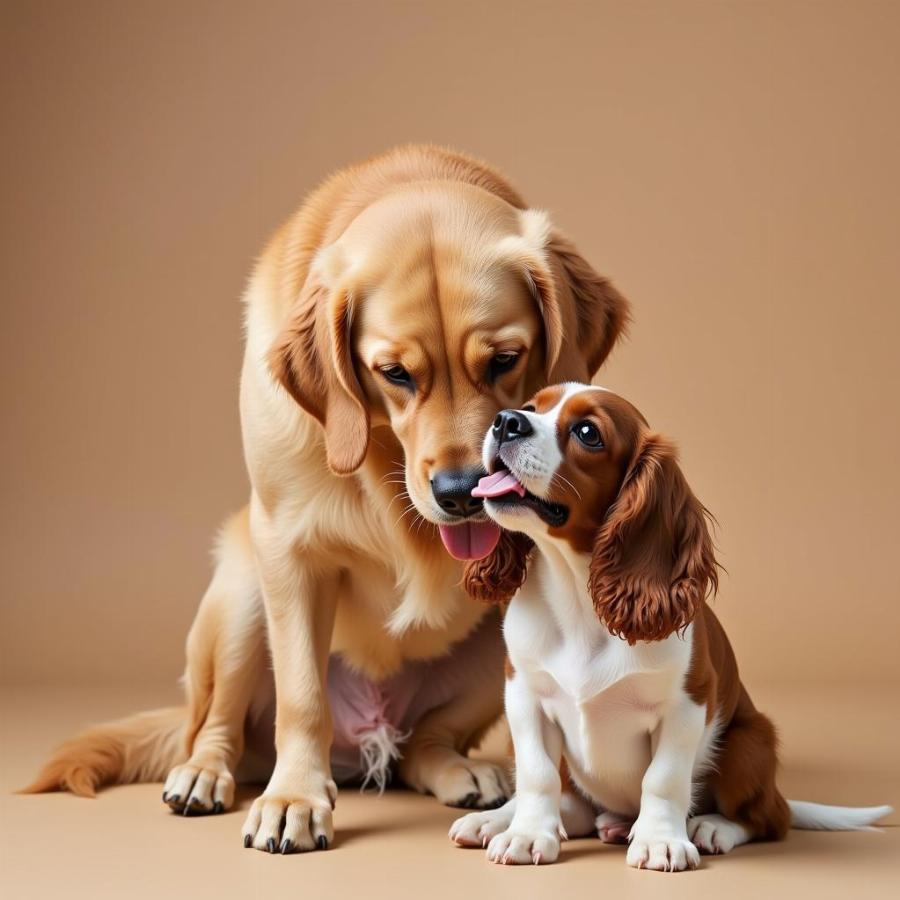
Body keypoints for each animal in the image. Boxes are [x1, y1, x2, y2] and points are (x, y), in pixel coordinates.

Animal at [19, 144, 624, 856]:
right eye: (394, 373)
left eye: (505, 359)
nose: (460, 493)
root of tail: (364, 743)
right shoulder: (290, 554)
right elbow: (302, 699)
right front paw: (294, 800)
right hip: (243, 593)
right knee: (215, 727)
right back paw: (204, 775)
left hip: (489, 645)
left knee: (422, 744)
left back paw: (461, 770)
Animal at [454, 384, 888, 868]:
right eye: (532, 407)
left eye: (588, 433)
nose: (506, 421)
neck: (579, 598)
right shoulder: (524, 696)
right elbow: (538, 773)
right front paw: (527, 833)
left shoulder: (686, 704)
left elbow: (662, 780)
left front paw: (660, 839)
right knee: (574, 805)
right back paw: (498, 820)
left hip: (749, 744)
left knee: (768, 818)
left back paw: (710, 827)